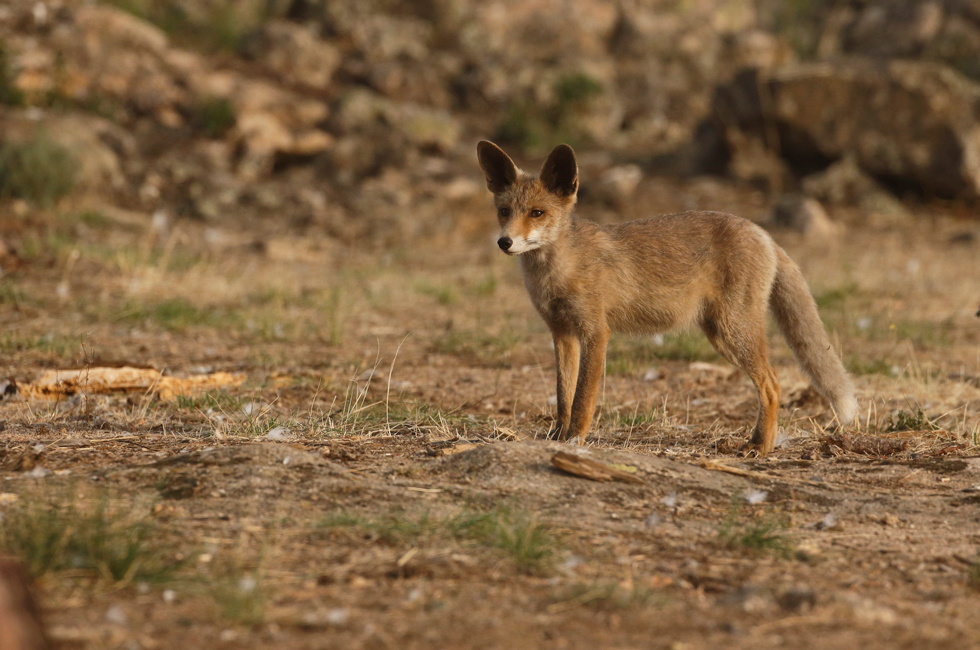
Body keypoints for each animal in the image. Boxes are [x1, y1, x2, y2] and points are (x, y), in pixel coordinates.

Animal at [476, 139, 856, 454]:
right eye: (505, 211)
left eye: (537, 213)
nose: (504, 242)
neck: (559, 271)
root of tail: (761, 231)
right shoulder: (562, 333)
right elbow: (563, 396)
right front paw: (556, 437)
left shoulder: (596, 333)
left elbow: (583, 399)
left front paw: (574, 441)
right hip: (720, 334)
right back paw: (760, 442)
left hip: (734, 332)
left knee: (773, 384)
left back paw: (760, 447)